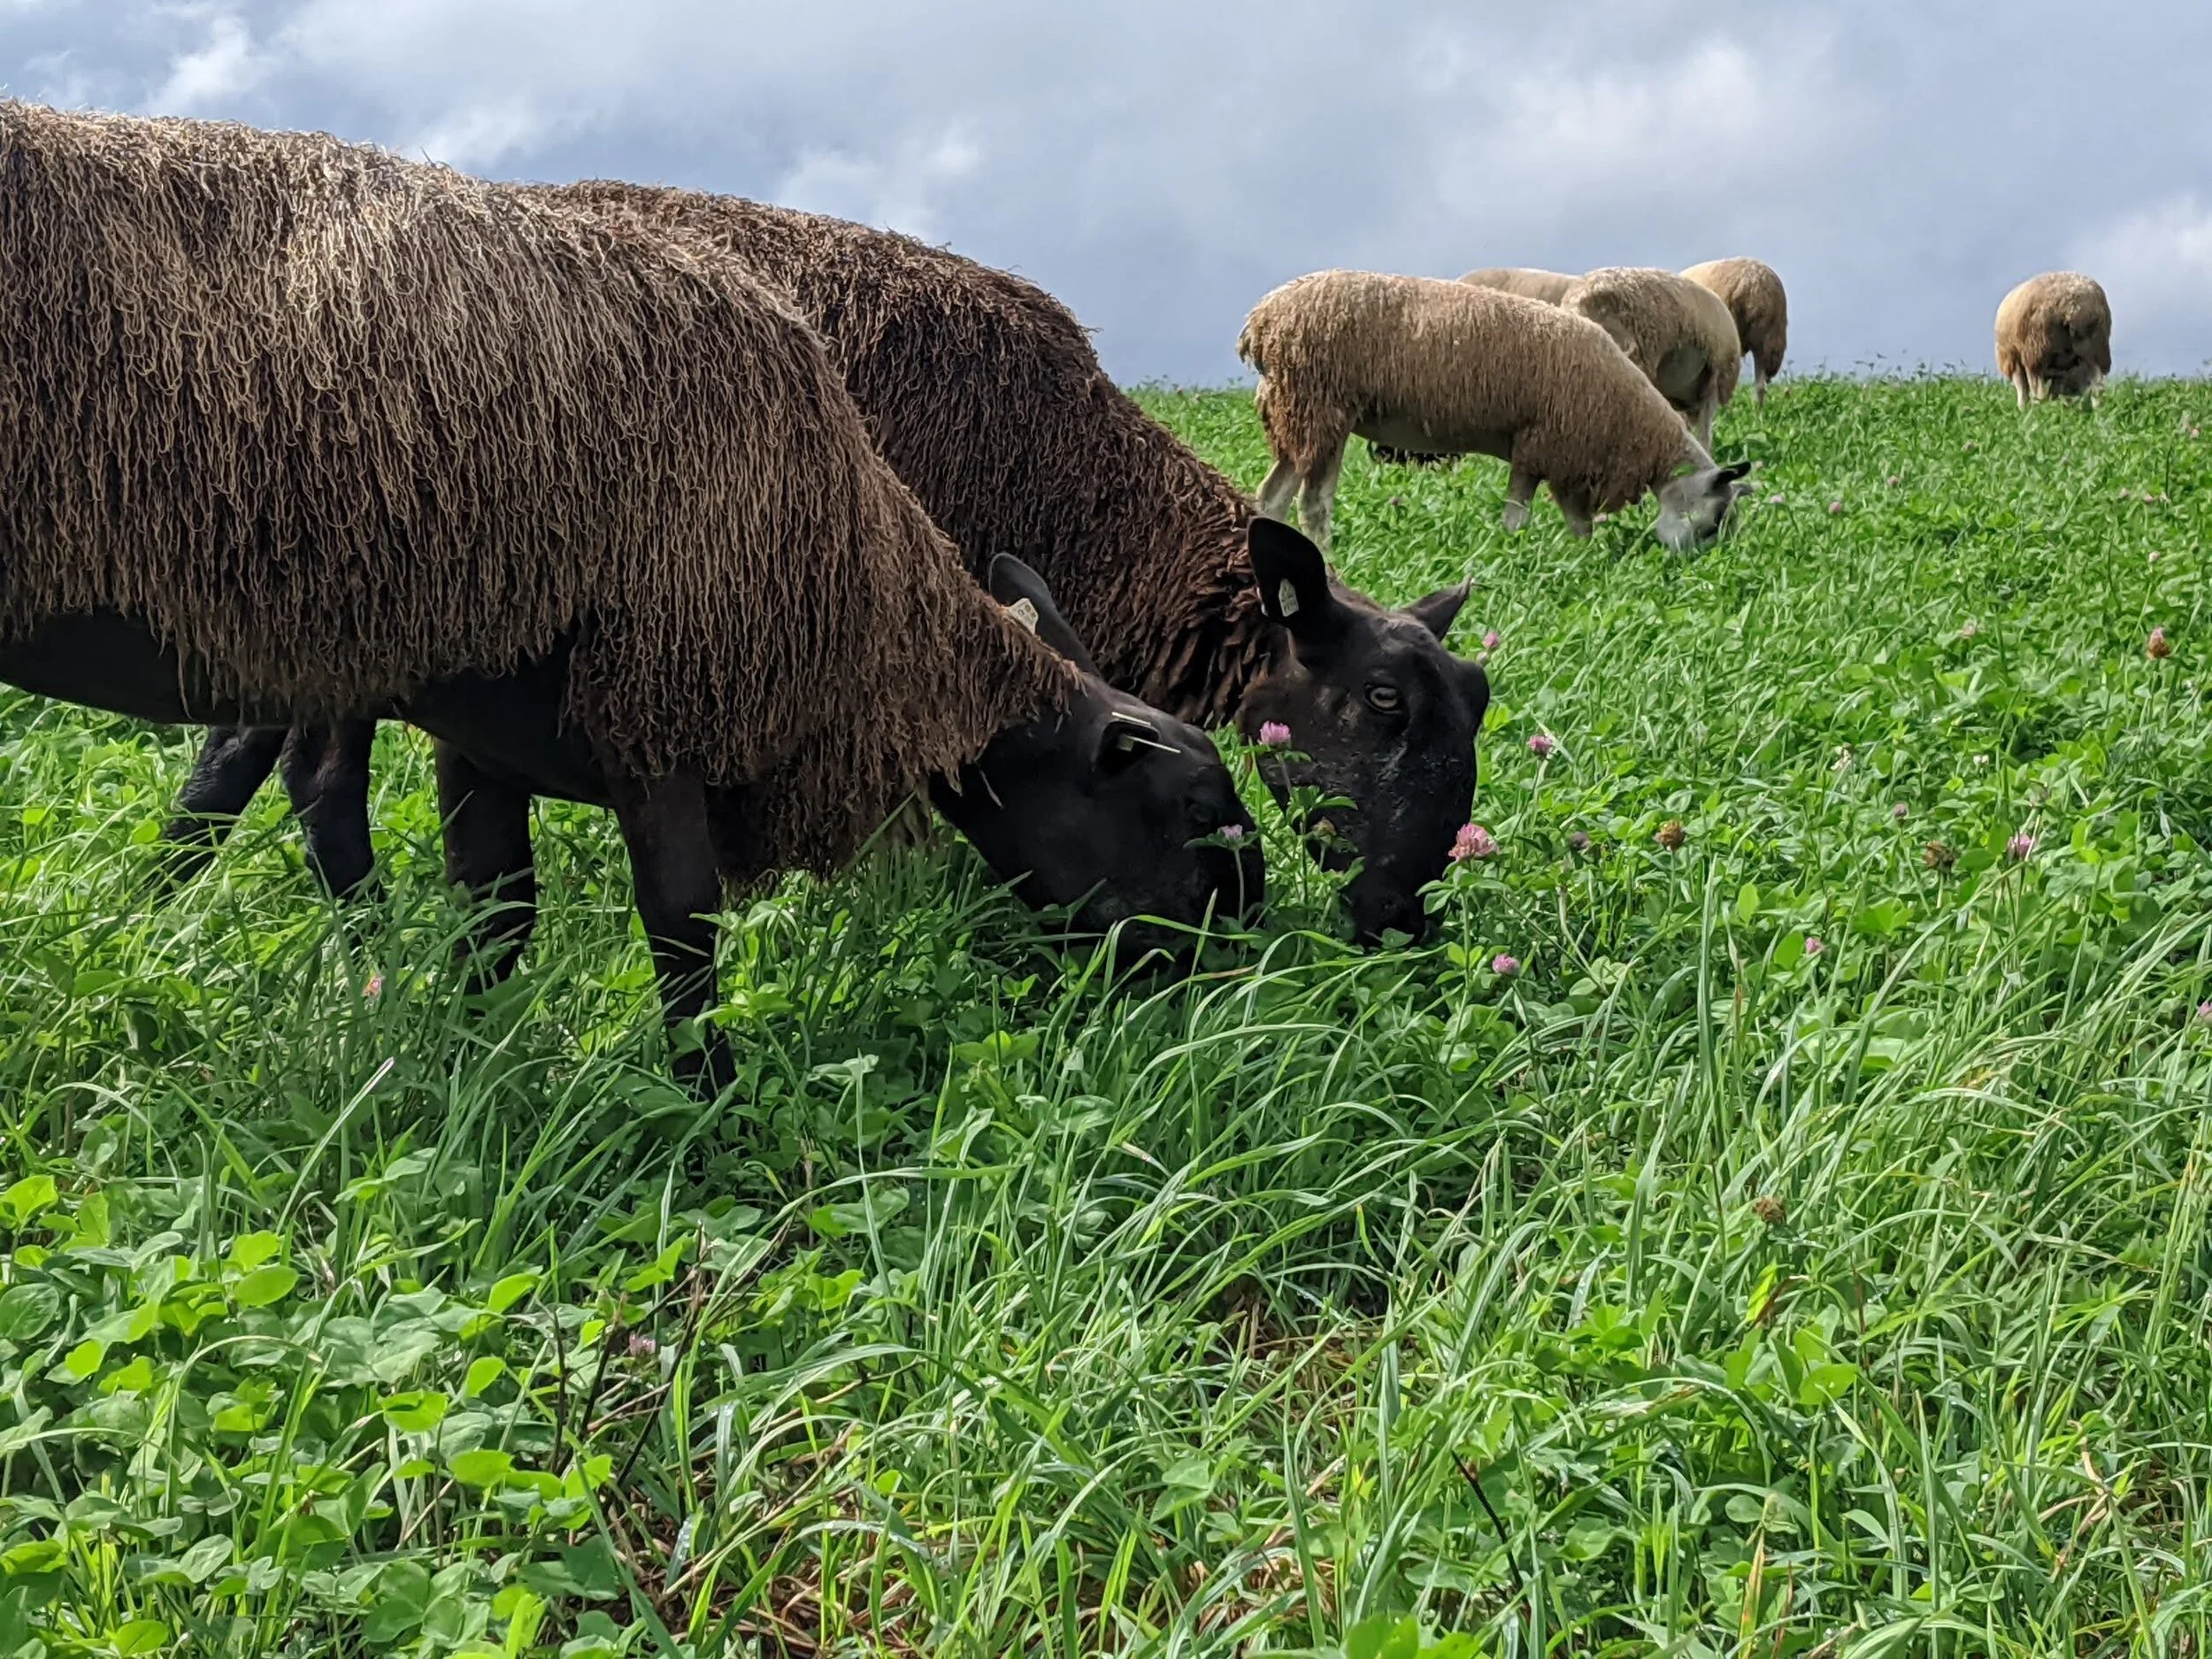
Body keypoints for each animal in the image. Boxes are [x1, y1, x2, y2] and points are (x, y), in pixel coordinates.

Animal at [0, 100, 1261, 1089]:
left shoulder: (484, 733)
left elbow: (496, 914)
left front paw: (469, 1061)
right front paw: (715, 1115)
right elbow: (684, 931)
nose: (1247, 983)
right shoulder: (663, 711)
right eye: (1194, 814)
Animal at [169, 186, 1493, 946]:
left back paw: (174, 913)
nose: (1401, 918)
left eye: (1474, 701)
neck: (1089, 499)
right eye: (1380, 701)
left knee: (248, 750)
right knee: (310, 771)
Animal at [1995, 272, 2111, 406]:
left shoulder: (2014, 360)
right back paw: (2097, 407)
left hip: (2036, 350)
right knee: (2098, 384)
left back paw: (2038, 406)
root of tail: (2072, 305)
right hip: (2092, 346)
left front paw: (2024, 408)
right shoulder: (2062, 369)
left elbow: (2022, 391)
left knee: (2038, 390)